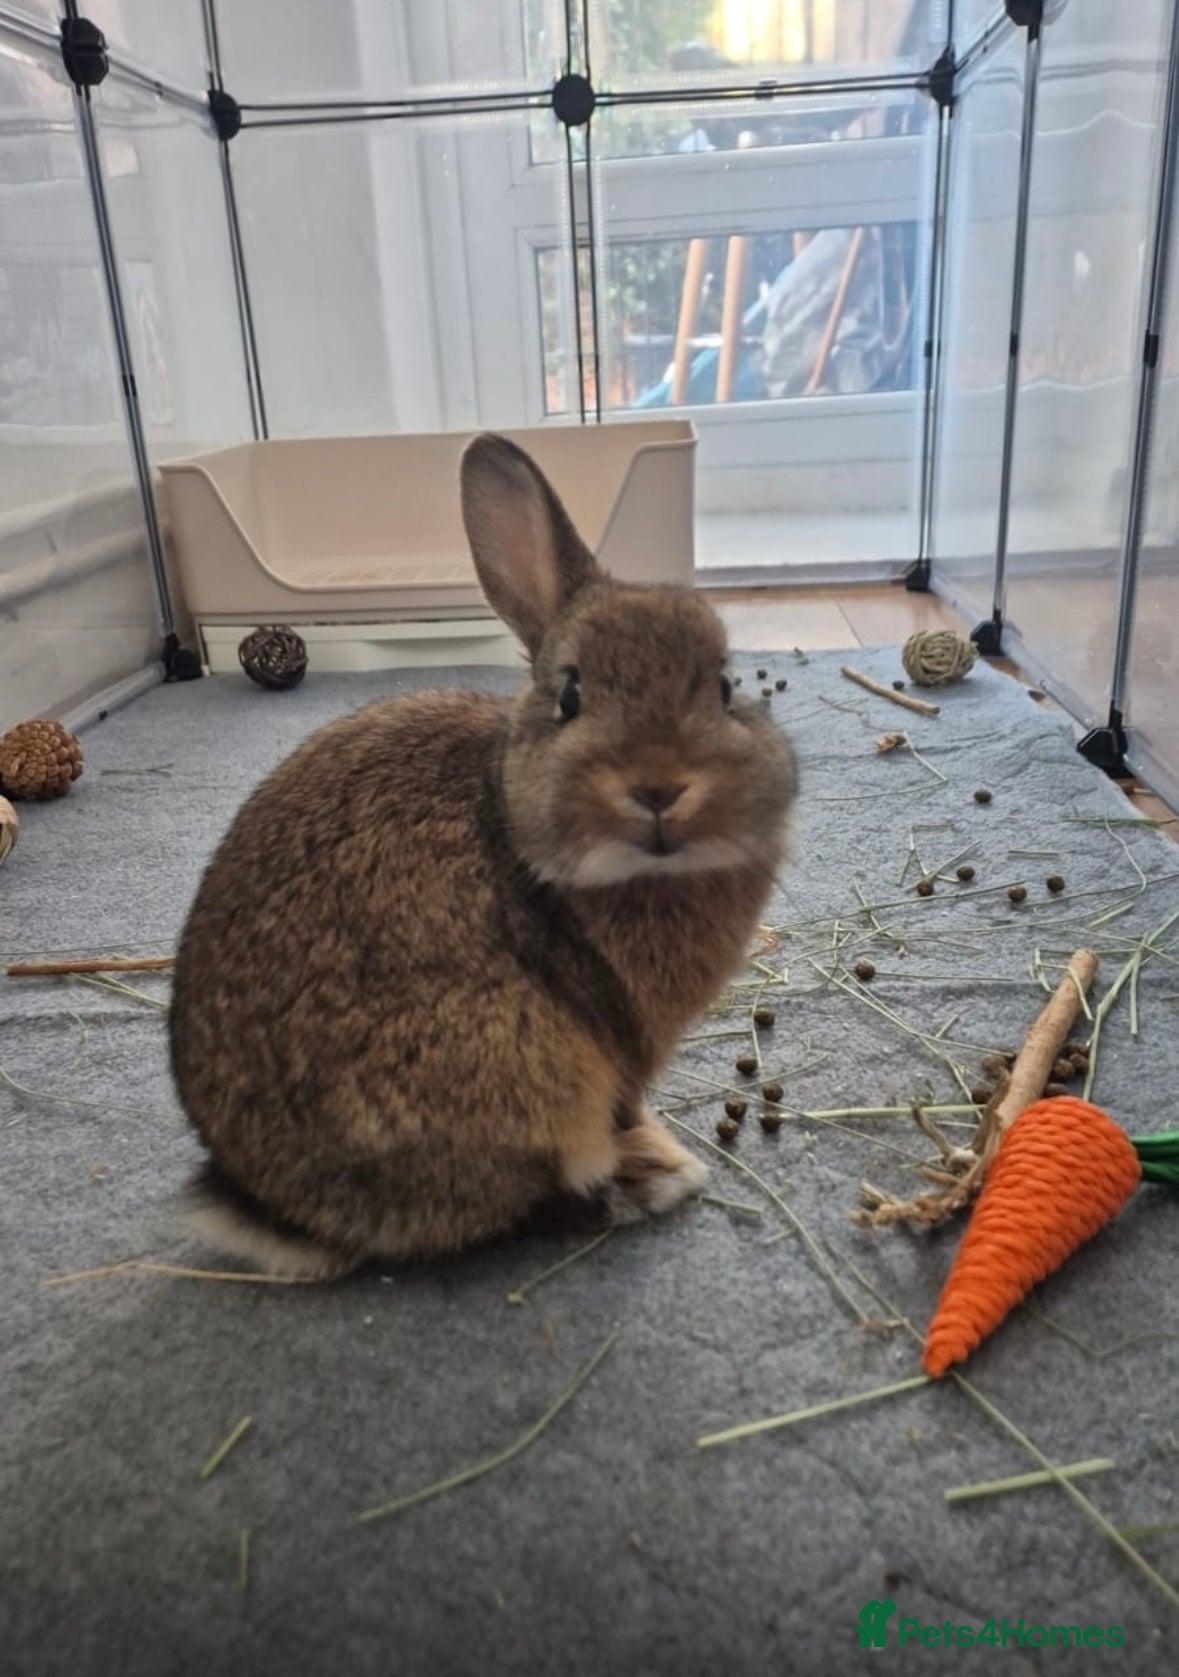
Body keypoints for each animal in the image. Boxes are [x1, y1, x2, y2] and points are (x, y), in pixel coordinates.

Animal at [169, 433, 798, 1279]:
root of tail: (285, 1213)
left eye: (726, 687)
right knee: (523, 1204)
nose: (659, 786)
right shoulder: (618, 1052)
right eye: (570, 696)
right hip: (516, 1068)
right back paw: (655, 1175)